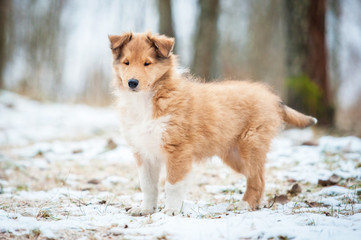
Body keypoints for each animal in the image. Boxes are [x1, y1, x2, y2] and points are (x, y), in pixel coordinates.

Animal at [107, 31, 316, 216]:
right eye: (126, 62)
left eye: (147, 63)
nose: (132, 82)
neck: (146, 100)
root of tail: (272, 98)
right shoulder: (144, 152)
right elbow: (148, 185)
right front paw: (145, 210)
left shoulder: (177, 150)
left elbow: (173, 184)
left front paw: (172, 211)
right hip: (234, 155)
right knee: (260, 176)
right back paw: (256, 203)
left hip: (250, 145)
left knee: (257, 178)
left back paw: (244, 205)